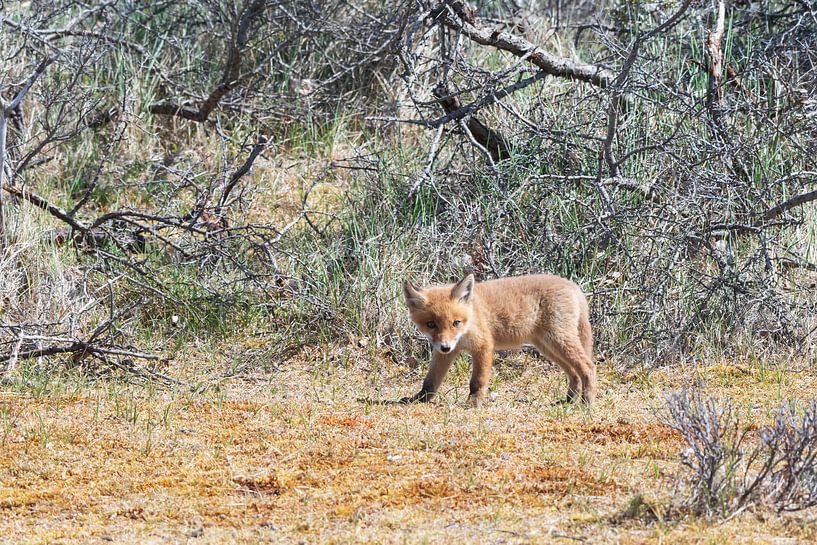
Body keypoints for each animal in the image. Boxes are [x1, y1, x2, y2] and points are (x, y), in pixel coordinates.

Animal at [401, 273, 596, 406]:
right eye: (431, 324)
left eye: (456, 322)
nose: (445, 346)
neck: (471, 318)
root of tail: (571, 284)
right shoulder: (447, 353)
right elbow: (430, 381)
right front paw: (419, 399)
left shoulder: (484, 346)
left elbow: (477, 381)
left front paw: (473, 403)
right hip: (548, 347)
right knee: (574, 373)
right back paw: (568, 400)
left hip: (558, 340)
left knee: (588, 367)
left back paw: (586, 402)